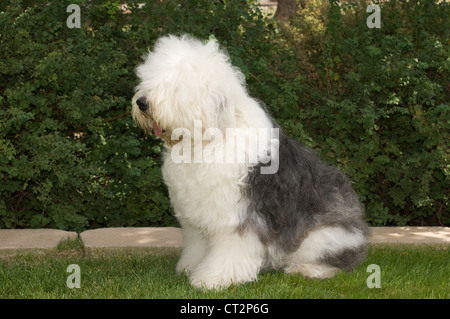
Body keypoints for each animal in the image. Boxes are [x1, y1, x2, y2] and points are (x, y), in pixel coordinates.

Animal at [131, 34, 370, 290]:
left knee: (337, 261)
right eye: (149, 79)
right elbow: (197, 246)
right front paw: (190, 267)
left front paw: (213, 279)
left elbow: (230, 252)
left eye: (175, 86)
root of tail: (360, 227)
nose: (141, 102)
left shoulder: (239, 217)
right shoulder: (197, 217)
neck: (209, 138)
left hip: (323, 237)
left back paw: (307, 269)